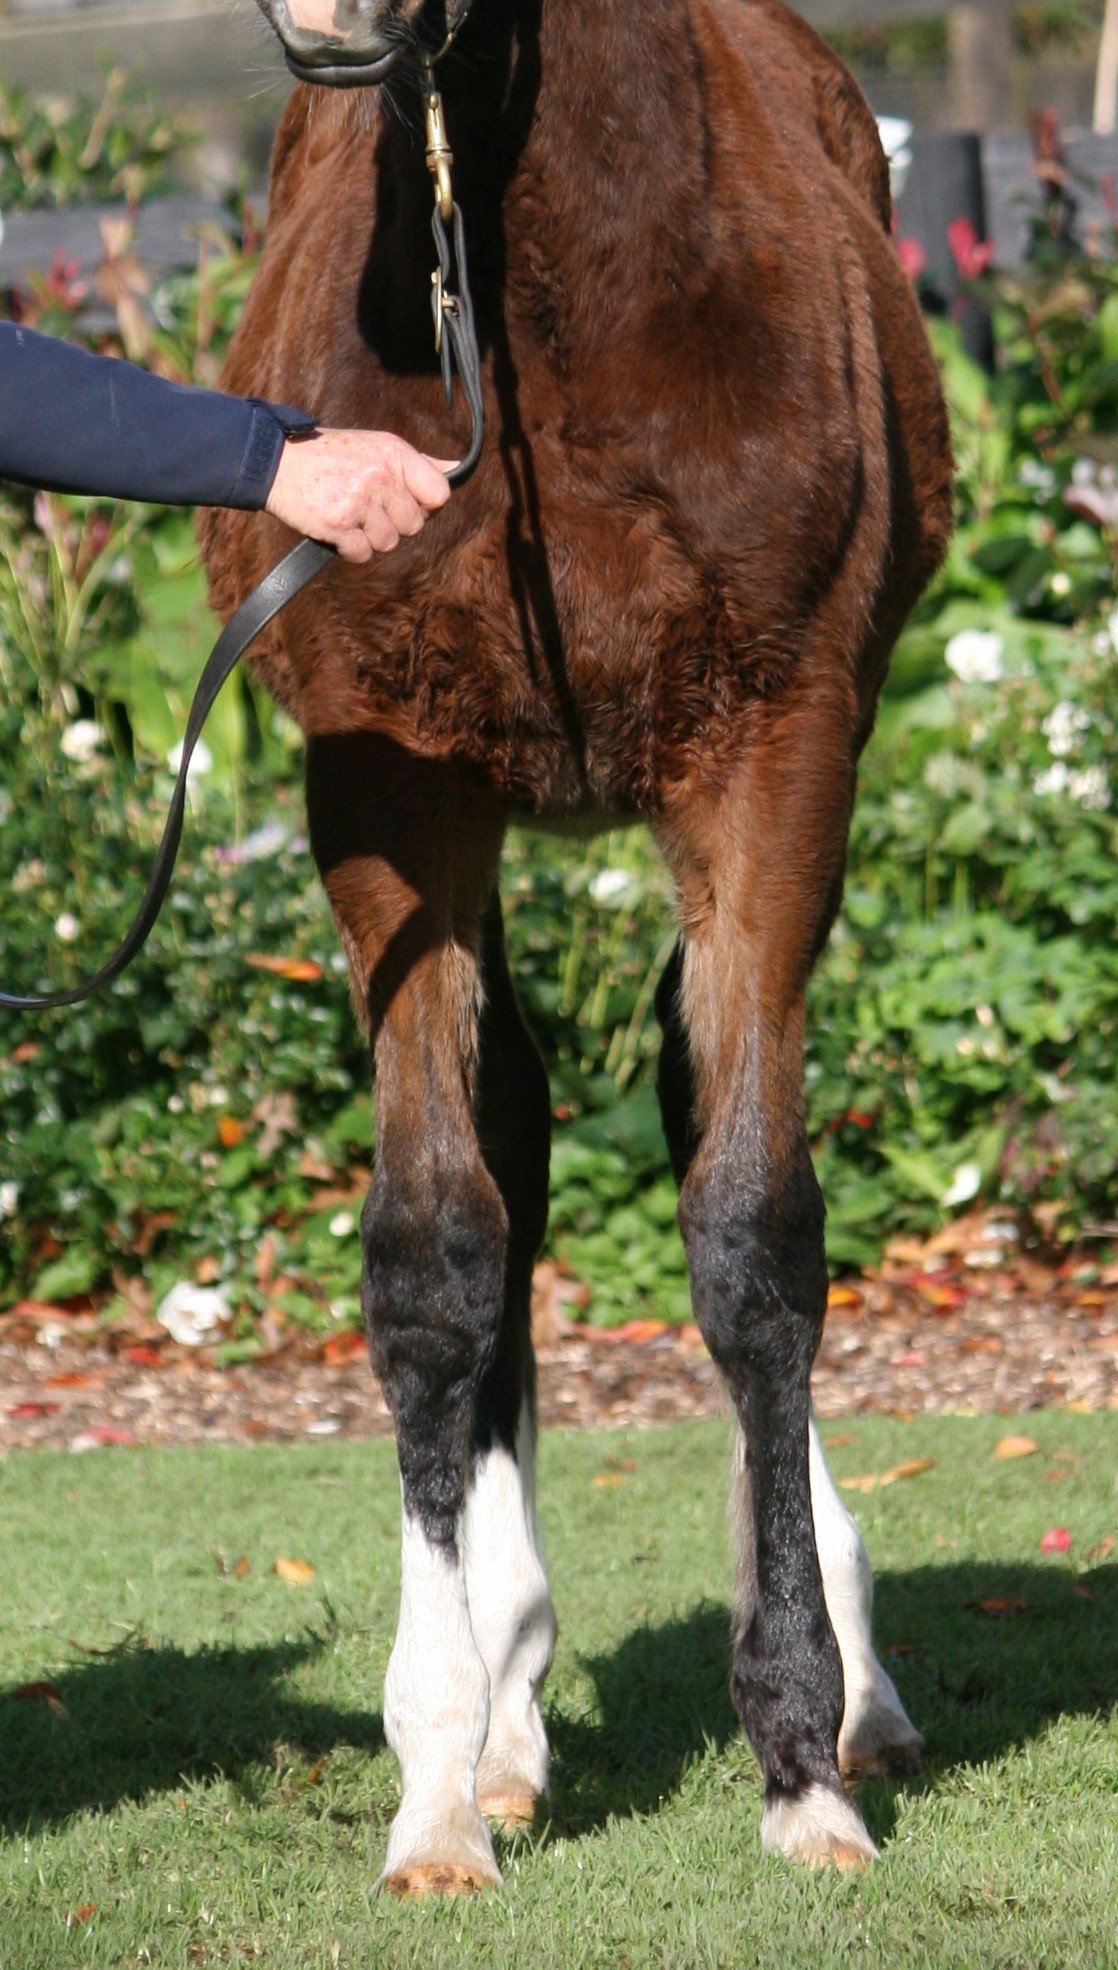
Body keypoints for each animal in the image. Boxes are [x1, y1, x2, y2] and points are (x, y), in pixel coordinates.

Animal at [202, 0, 953, 1896]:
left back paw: (850, 1679)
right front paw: (436, 1778)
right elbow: (432, 1253)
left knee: (691, 1113)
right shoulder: (388, 777)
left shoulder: (776, 755)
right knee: (519, 1137)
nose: (333, 21)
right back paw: (512, 1698)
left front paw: (799, 1755)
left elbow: (755, 1237)